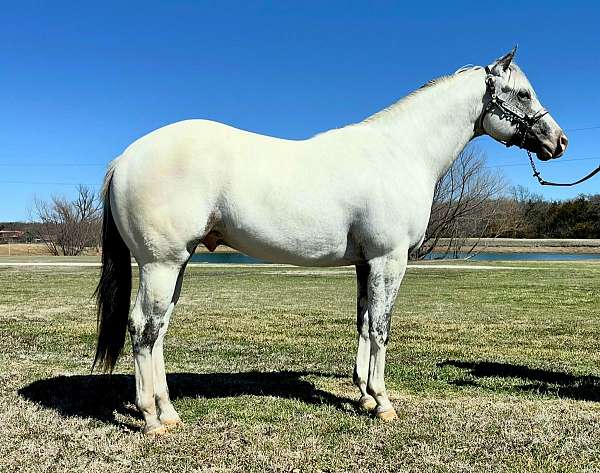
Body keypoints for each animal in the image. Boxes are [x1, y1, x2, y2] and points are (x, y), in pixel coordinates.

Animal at [94, 47, 568, 432]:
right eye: (523, 94)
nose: (558, 141)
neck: (401, 152)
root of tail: (125, 158)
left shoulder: (365, 262)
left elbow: (363, 321)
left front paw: (363, 395)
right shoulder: (389, 259)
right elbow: (381, 326)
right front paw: (383, 403)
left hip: (176, 264)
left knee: (158, 331)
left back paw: (168, 411)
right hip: (160, 263)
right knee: (143, 329)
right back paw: (152, 418)